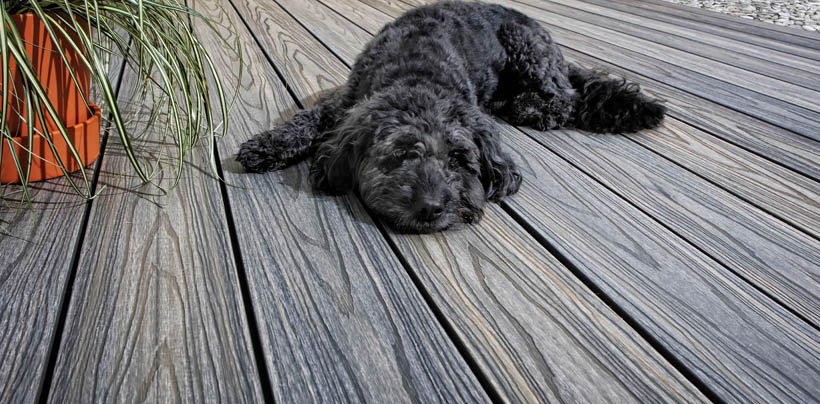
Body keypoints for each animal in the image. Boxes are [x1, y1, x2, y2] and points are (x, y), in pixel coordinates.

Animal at [234, 1, 664, 234]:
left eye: (459, 159)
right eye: (402, 154)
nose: (431, 207)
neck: (418, 72)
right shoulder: (346, 100)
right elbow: (305, 120)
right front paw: (266, 145)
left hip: (529, 50)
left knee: (564, 99)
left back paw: (532, 107)